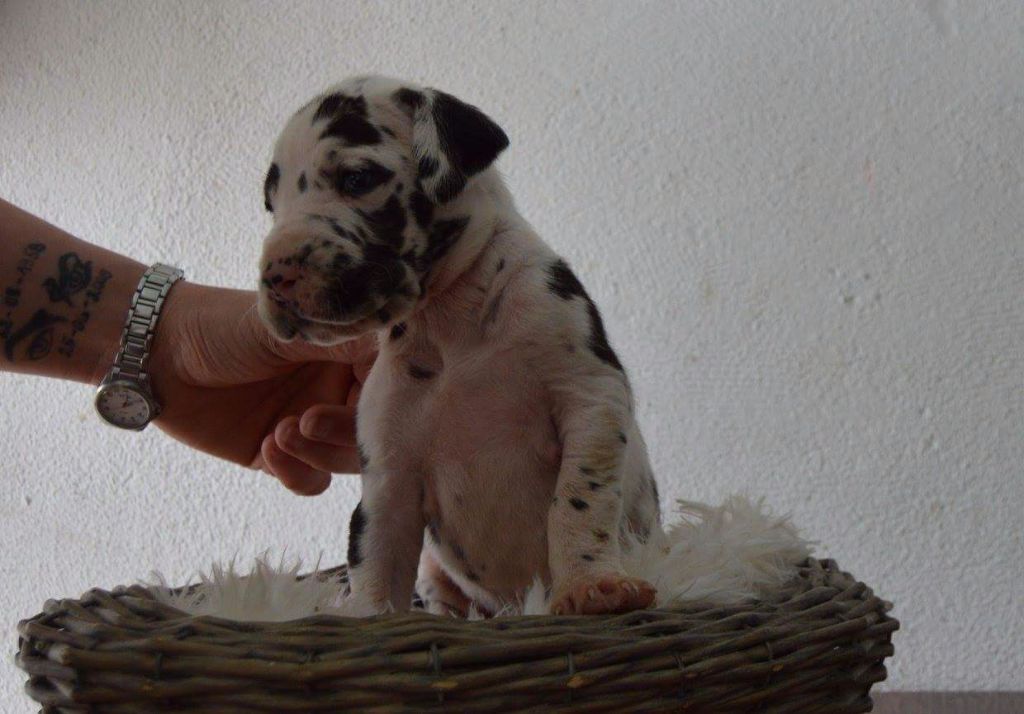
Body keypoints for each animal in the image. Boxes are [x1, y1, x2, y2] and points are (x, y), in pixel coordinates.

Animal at [256, 75, 659, 614]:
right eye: (271, 203)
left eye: (357, 179)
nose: (274, 278)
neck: (453, 321)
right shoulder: (390, 468)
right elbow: (375, 551)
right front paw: (365, 613)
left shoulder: (590, 399)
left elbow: (578, 501)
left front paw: (590, 584)